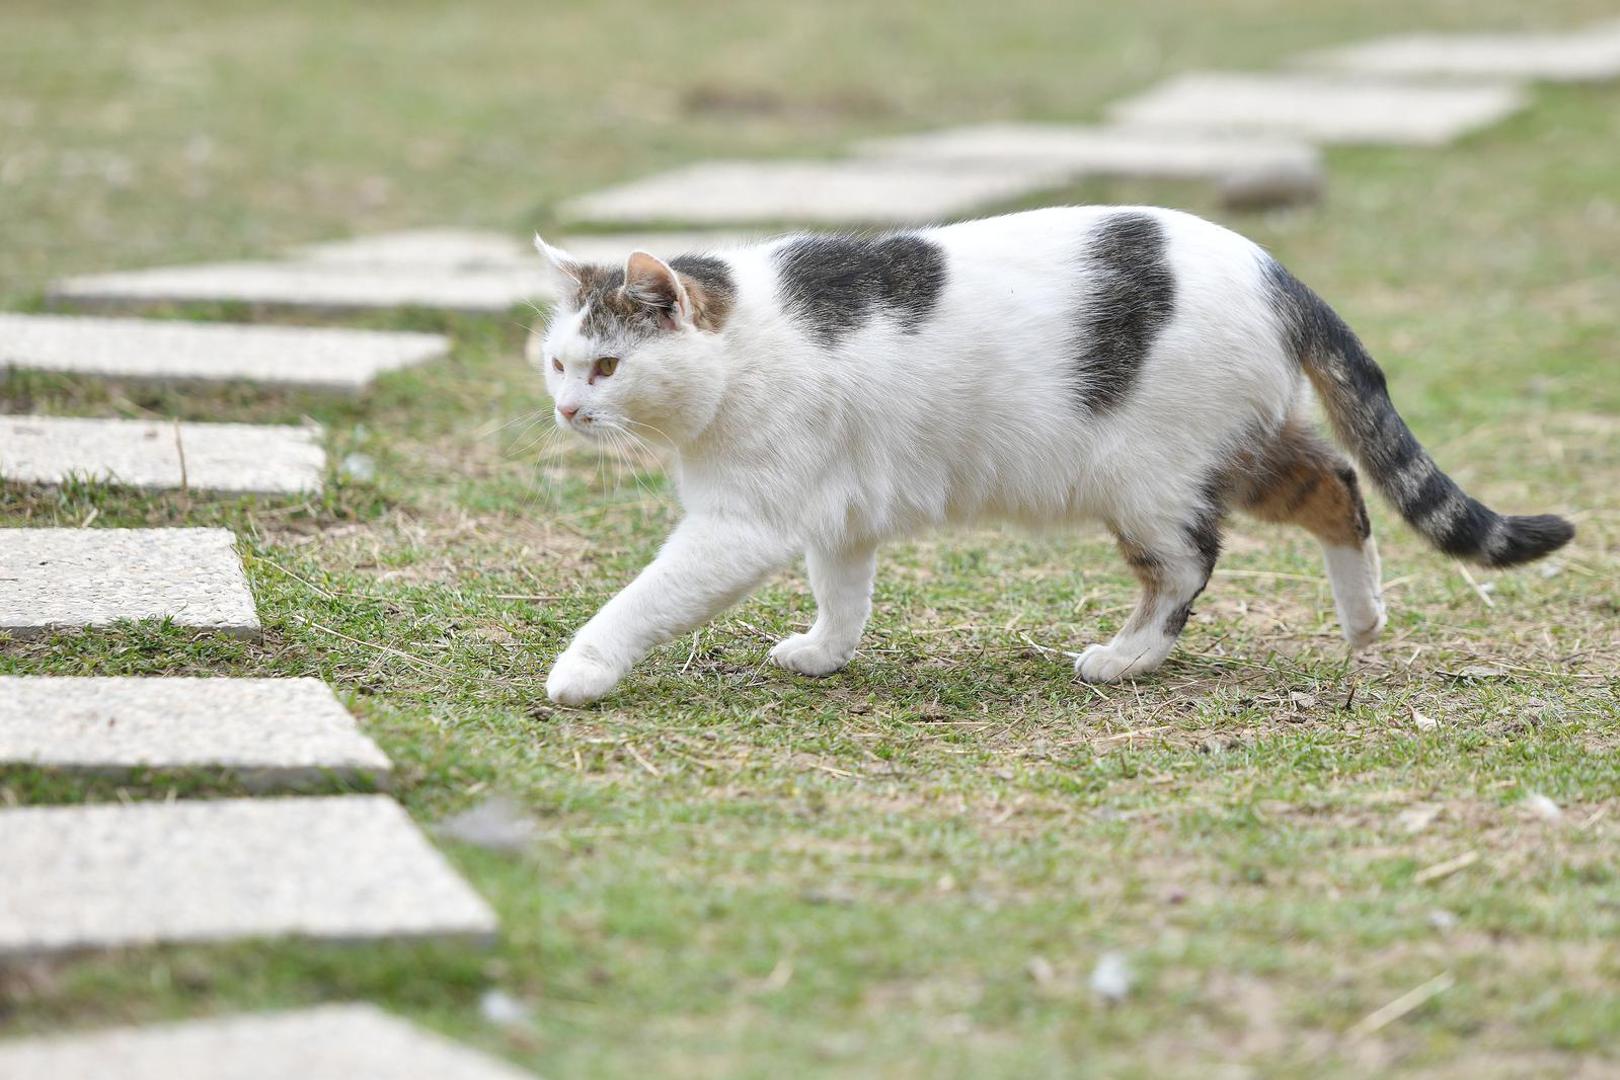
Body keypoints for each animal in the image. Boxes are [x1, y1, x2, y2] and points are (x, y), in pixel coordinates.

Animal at [531, 205, 1568, 705]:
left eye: (610, 364)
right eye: (558, 360)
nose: (567, 410)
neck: (743, 345)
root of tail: (1275, 271)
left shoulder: (740, 525)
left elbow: (643, 599)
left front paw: (582, 670)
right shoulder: (838, 508)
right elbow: (844, 592)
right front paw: (825, 652)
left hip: (1149, 477)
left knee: (1189, 565)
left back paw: (1128, 658)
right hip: (1237, 446)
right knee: (1337, 483)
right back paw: (1364, 621)